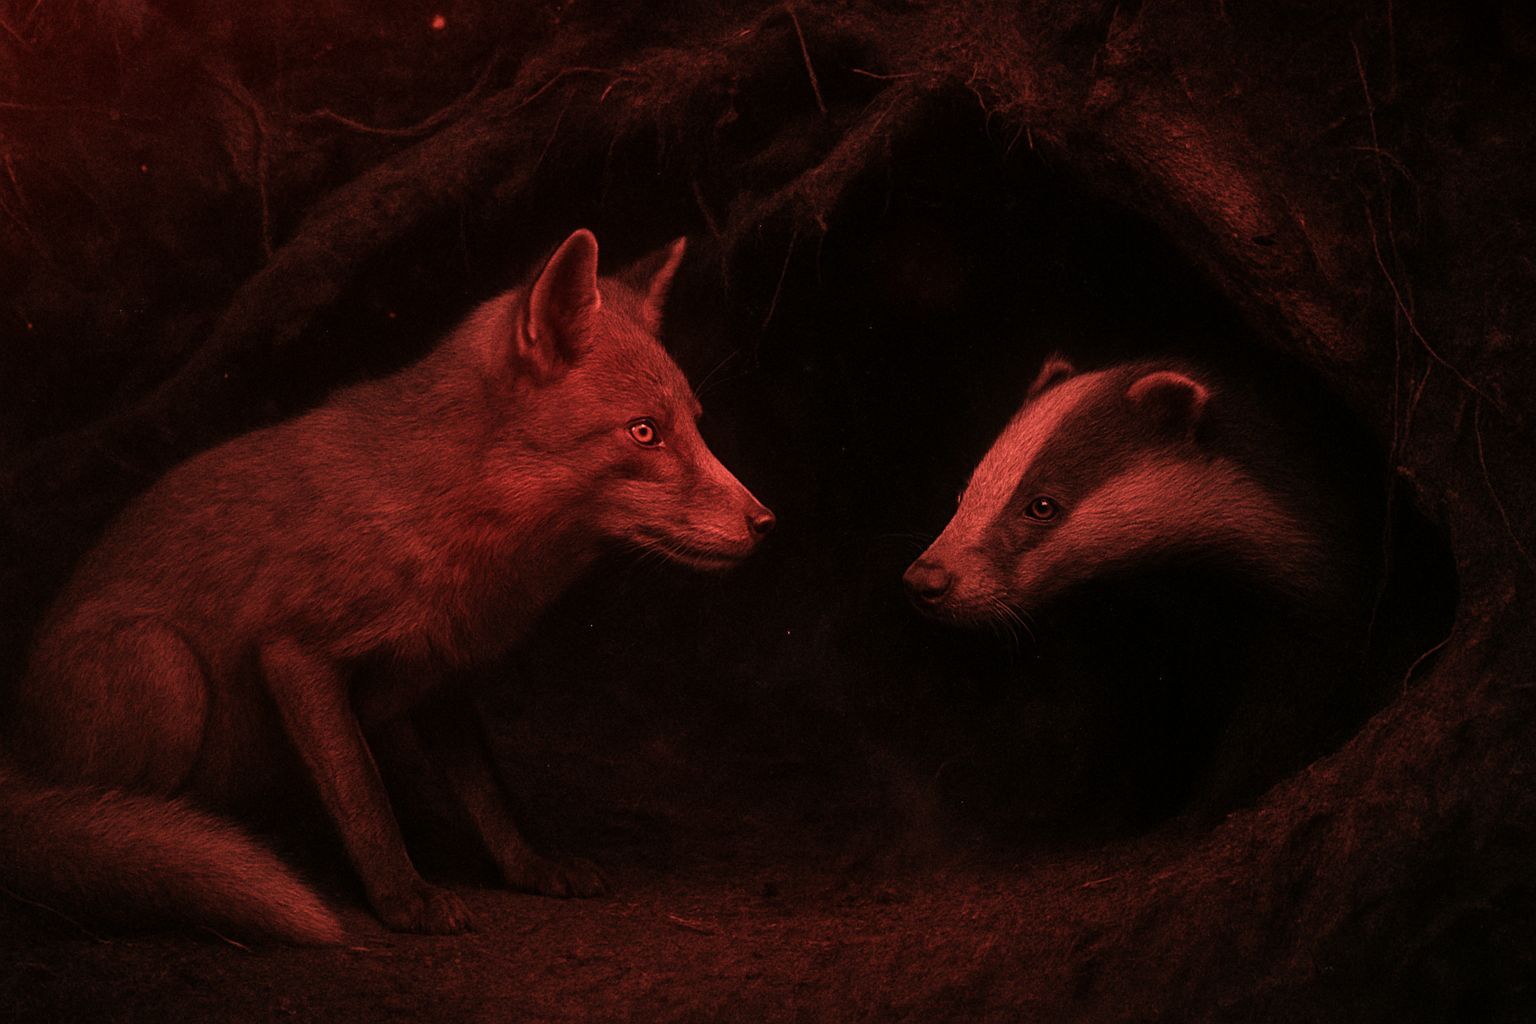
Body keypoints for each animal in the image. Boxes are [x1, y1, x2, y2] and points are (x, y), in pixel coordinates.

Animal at [0, 228, 774, 944]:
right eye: (645, 433)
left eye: (696, 428)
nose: (765, 522)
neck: (456, 522)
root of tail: (20, 758)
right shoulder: (296, 651)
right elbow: (362, 794)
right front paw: (403, 898)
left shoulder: (443, 673)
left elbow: (489, 796)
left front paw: (528, 867)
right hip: (164, 667)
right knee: (126, 818)